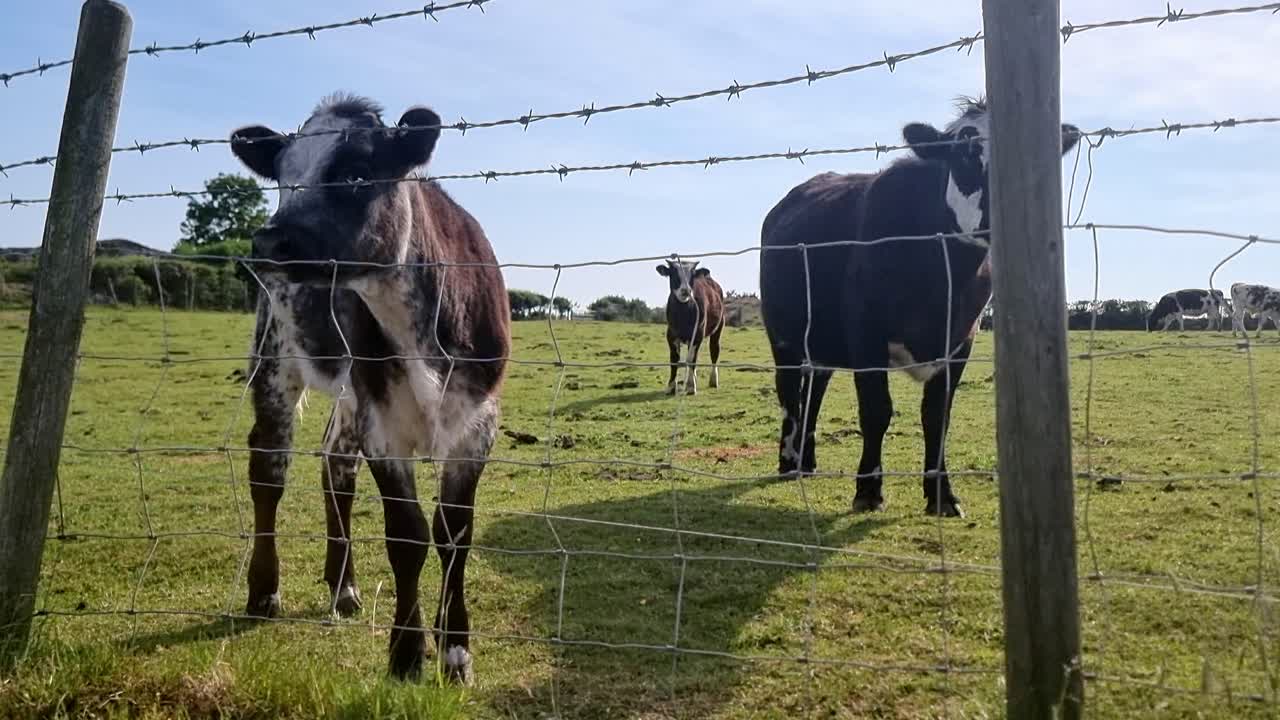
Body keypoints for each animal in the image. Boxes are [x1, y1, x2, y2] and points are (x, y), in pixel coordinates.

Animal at [228, 93, 509, 683]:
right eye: (283, 178)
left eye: (357, 174)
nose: (267, 239)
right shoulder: (384, 426)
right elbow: (407, 536)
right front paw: (406, 653)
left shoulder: (478, 425)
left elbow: (455, 534)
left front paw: (456, 651)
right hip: (274, 356)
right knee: (269, 468)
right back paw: (265, 592)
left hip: (349, 392)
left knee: (335, 464)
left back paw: (344, 586)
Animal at [657, 259, 725, 395]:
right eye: (673, 273)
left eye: (692, 275)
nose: (685, 290)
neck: (683, 313)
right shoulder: (671, 334)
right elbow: (674, 359)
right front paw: (671, 386)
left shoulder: (697, 334)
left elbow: (692, 359)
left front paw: (691, 386)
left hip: (718, 327)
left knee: (714, 349)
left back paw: (713, 380)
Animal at [759, 97, 1079, 517]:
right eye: (964, 153)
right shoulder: (865, 334)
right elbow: (877, 410)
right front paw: (869, 490)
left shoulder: (961, 341)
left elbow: (937, 416)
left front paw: (942, 494)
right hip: (783, 338)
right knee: (789, 394)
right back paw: (789, 461)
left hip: (822, 344)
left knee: (814, 391)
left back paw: (808, 461)